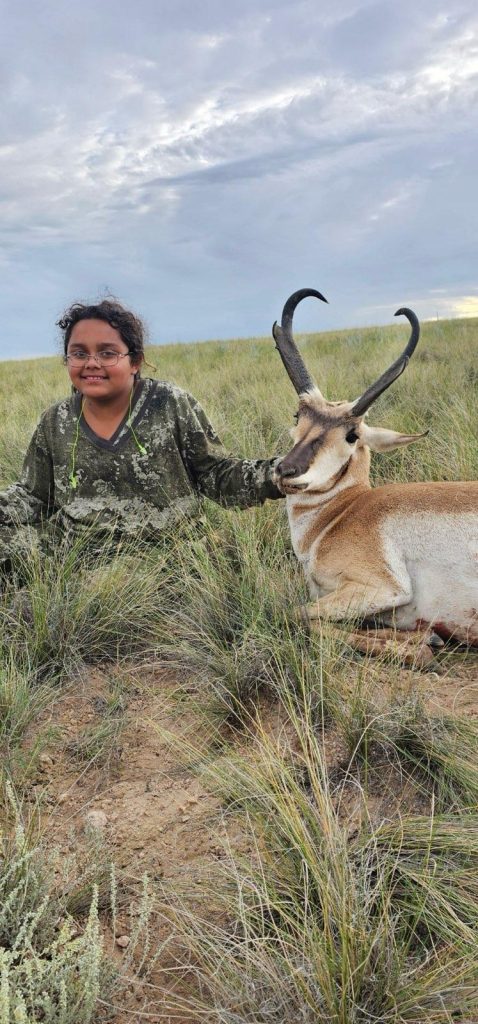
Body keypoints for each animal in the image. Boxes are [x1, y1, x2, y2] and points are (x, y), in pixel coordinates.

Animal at [272, 292, 478, 667]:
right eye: (298, 415)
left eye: (352, 434)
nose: (287, 470)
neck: (342, 513)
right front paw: (427, 637)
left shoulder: (382, 588)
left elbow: (297, 615)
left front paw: (421, 646)